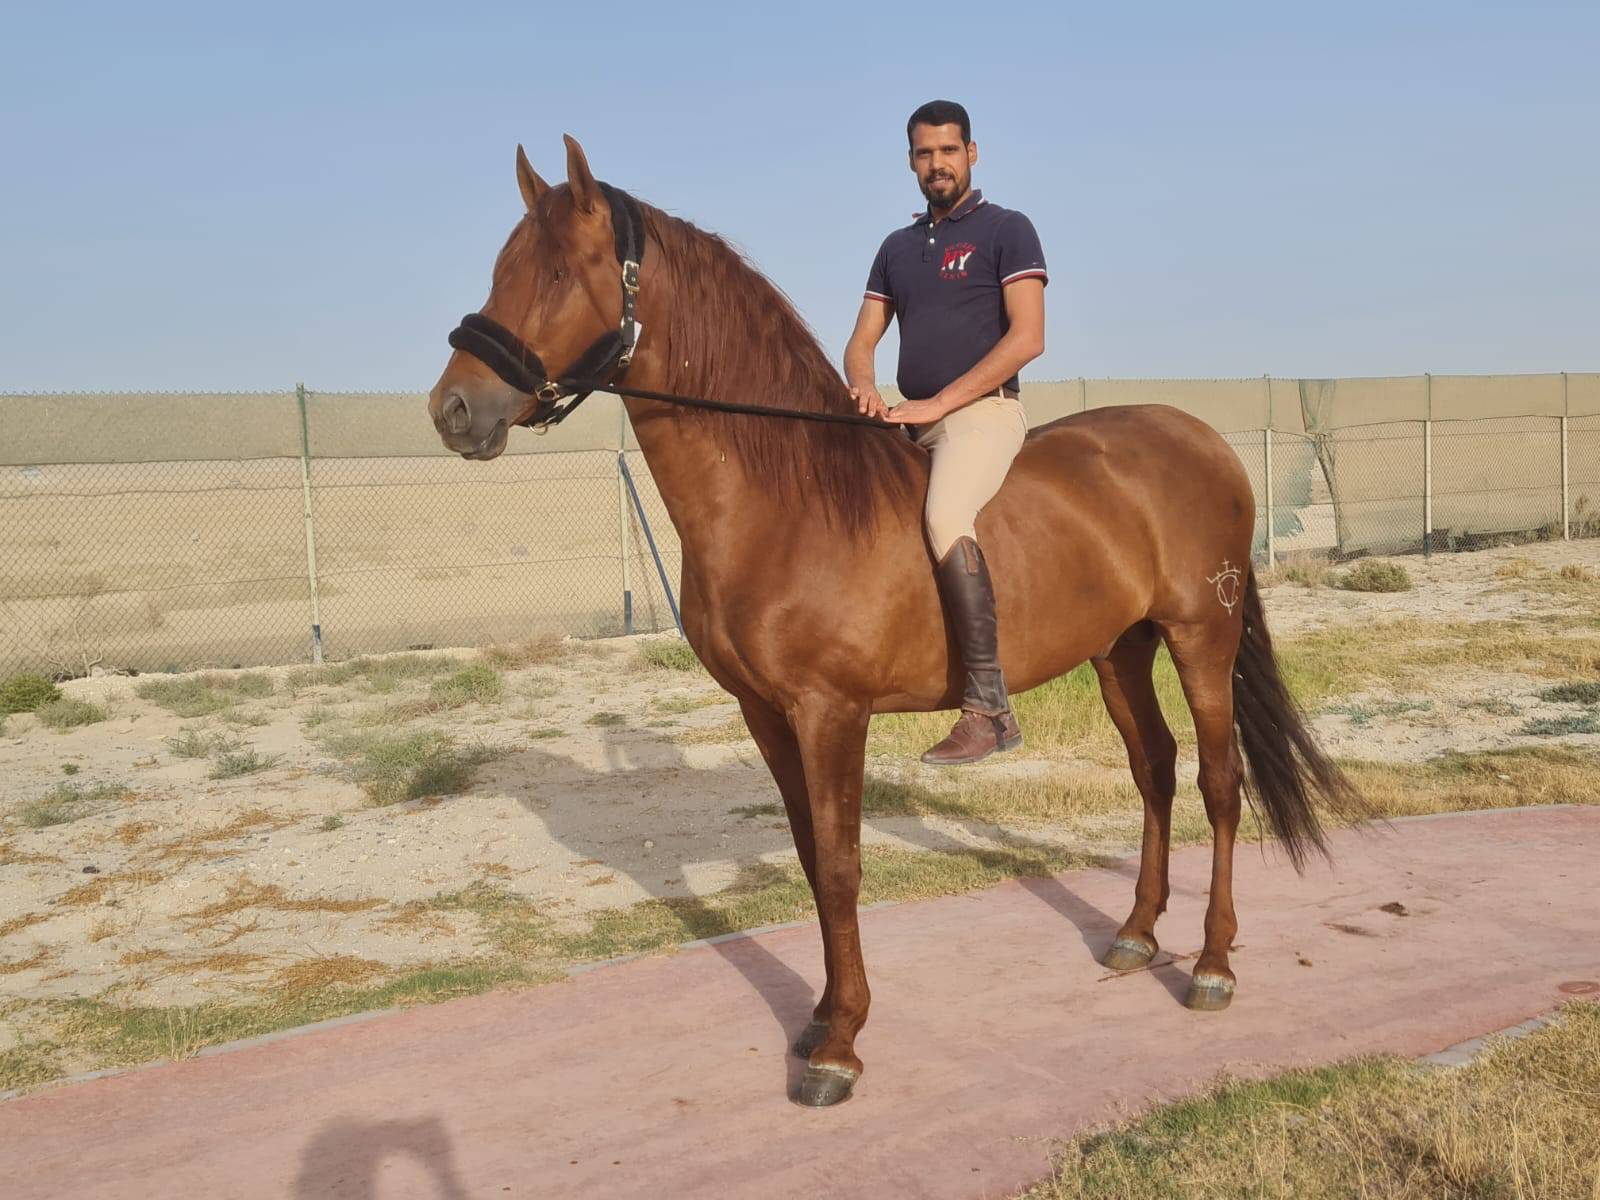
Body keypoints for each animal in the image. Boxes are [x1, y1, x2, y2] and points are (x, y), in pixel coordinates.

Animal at [427, 135, 1361, 1107]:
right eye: (502, 268)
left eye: (562, 272)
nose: (453, 409)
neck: (785, 501)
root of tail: (1202, 438)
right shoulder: (767, 714)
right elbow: (811, 858)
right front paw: (818, 1018)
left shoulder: (830, 711)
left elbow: (841, 868)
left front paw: (840, 1045)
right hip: (1119, 653)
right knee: (1156, 771)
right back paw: (1138, 935)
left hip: (1200, 638)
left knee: (1219, 781)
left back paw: (1213, 964)